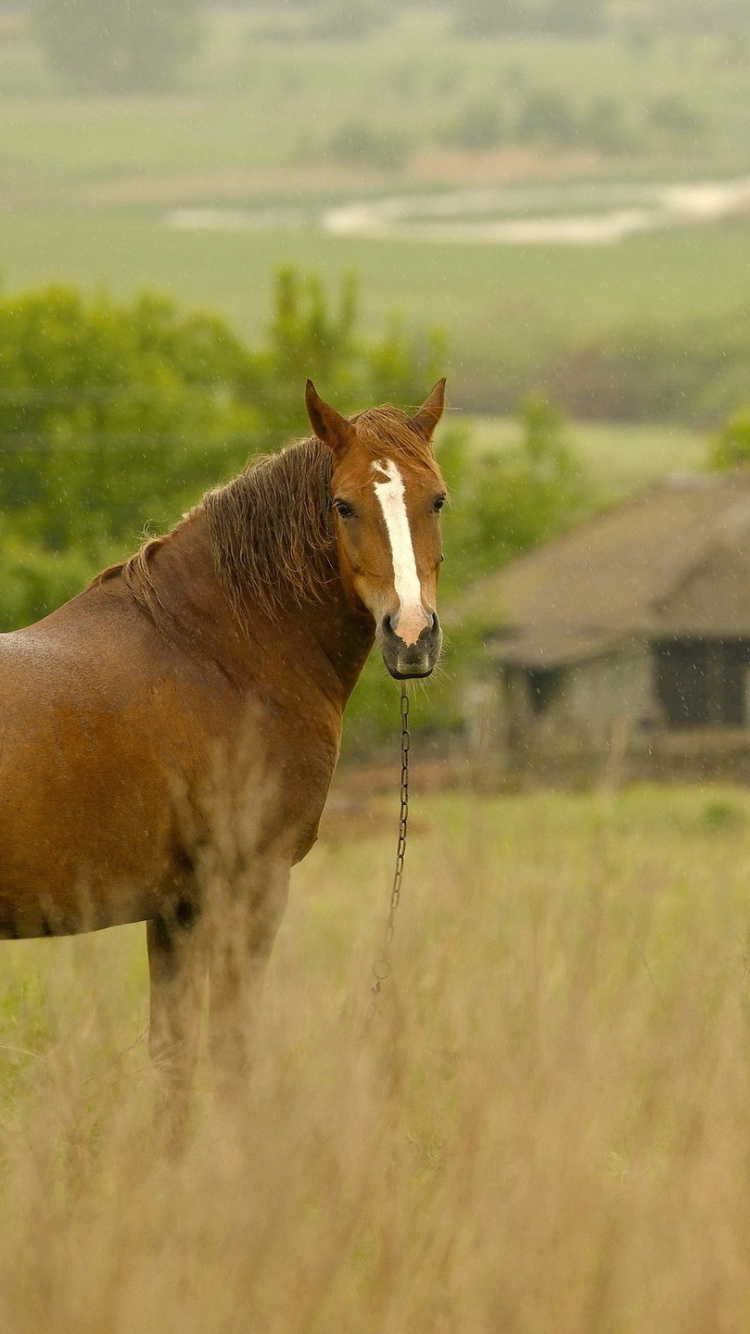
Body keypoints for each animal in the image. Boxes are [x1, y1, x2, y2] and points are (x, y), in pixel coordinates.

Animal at [0, 381, 443, 1120]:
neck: (215, 650)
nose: (410, 635)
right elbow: (231, 1053)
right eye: (344, 504)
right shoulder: (250, 887)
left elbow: (173, 1059)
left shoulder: (174, 910)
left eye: (436, 499)